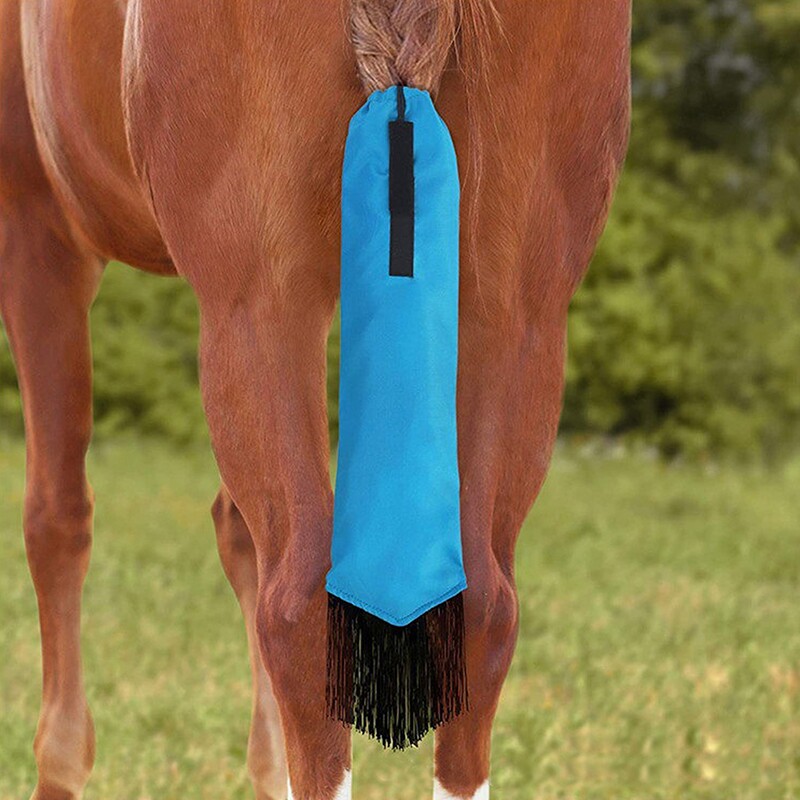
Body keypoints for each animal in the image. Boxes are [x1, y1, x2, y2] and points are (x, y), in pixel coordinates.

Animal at [0, 1, 631, 798]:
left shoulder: (35, 230)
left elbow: (55, 519)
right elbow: (234, 531)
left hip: (257, 301)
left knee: (297, 607)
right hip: (516, 310)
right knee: (482, 607)